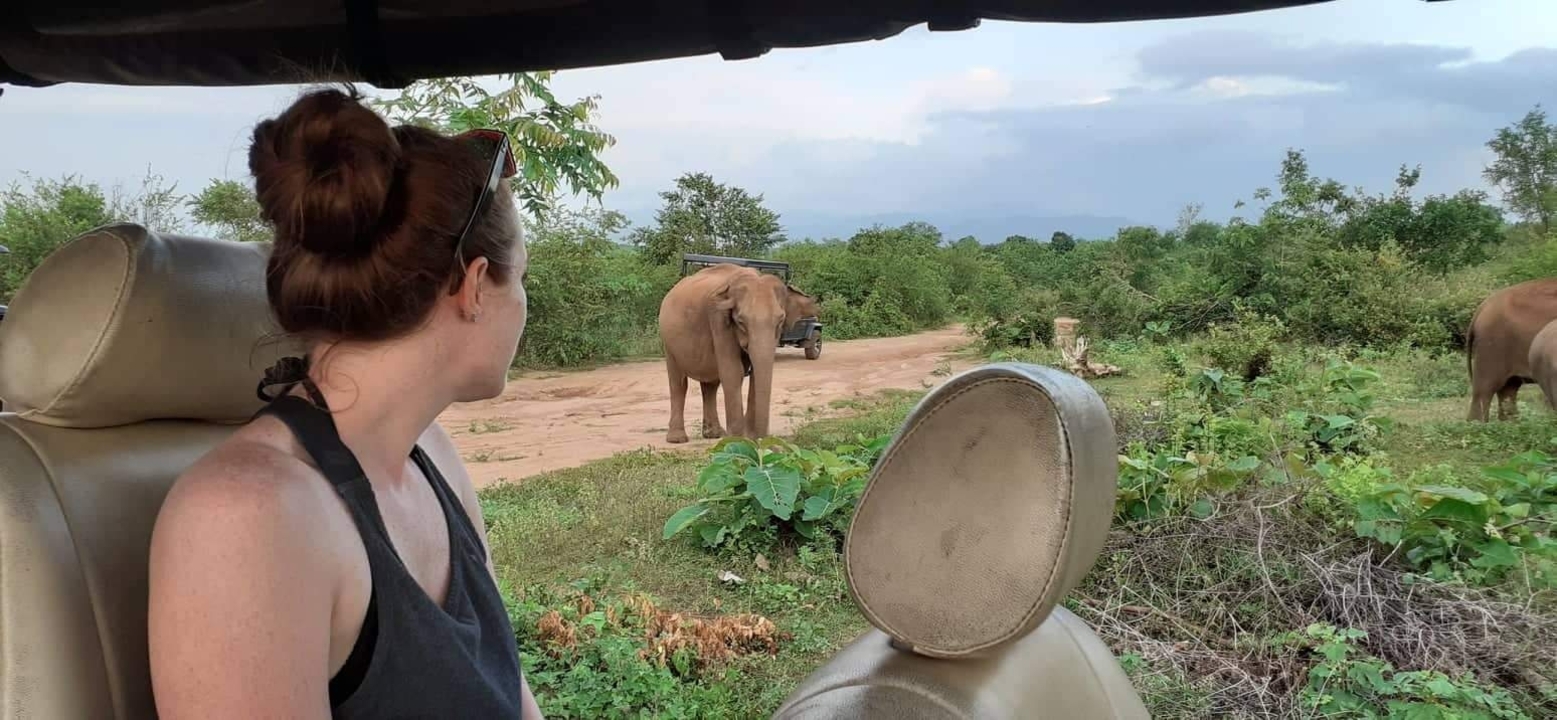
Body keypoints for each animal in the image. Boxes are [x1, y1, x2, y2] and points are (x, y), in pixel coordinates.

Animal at [658, 263, 793, 443]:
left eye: (780, 321)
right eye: (741, 322)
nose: (761, 440)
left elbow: (754, 374)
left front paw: (748, 438)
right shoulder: (718, 320)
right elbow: (733, 371)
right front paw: (737, 440)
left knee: (710, 385)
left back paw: (714, 434)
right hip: (669, 342)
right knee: (678, 383)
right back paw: (677, 439)